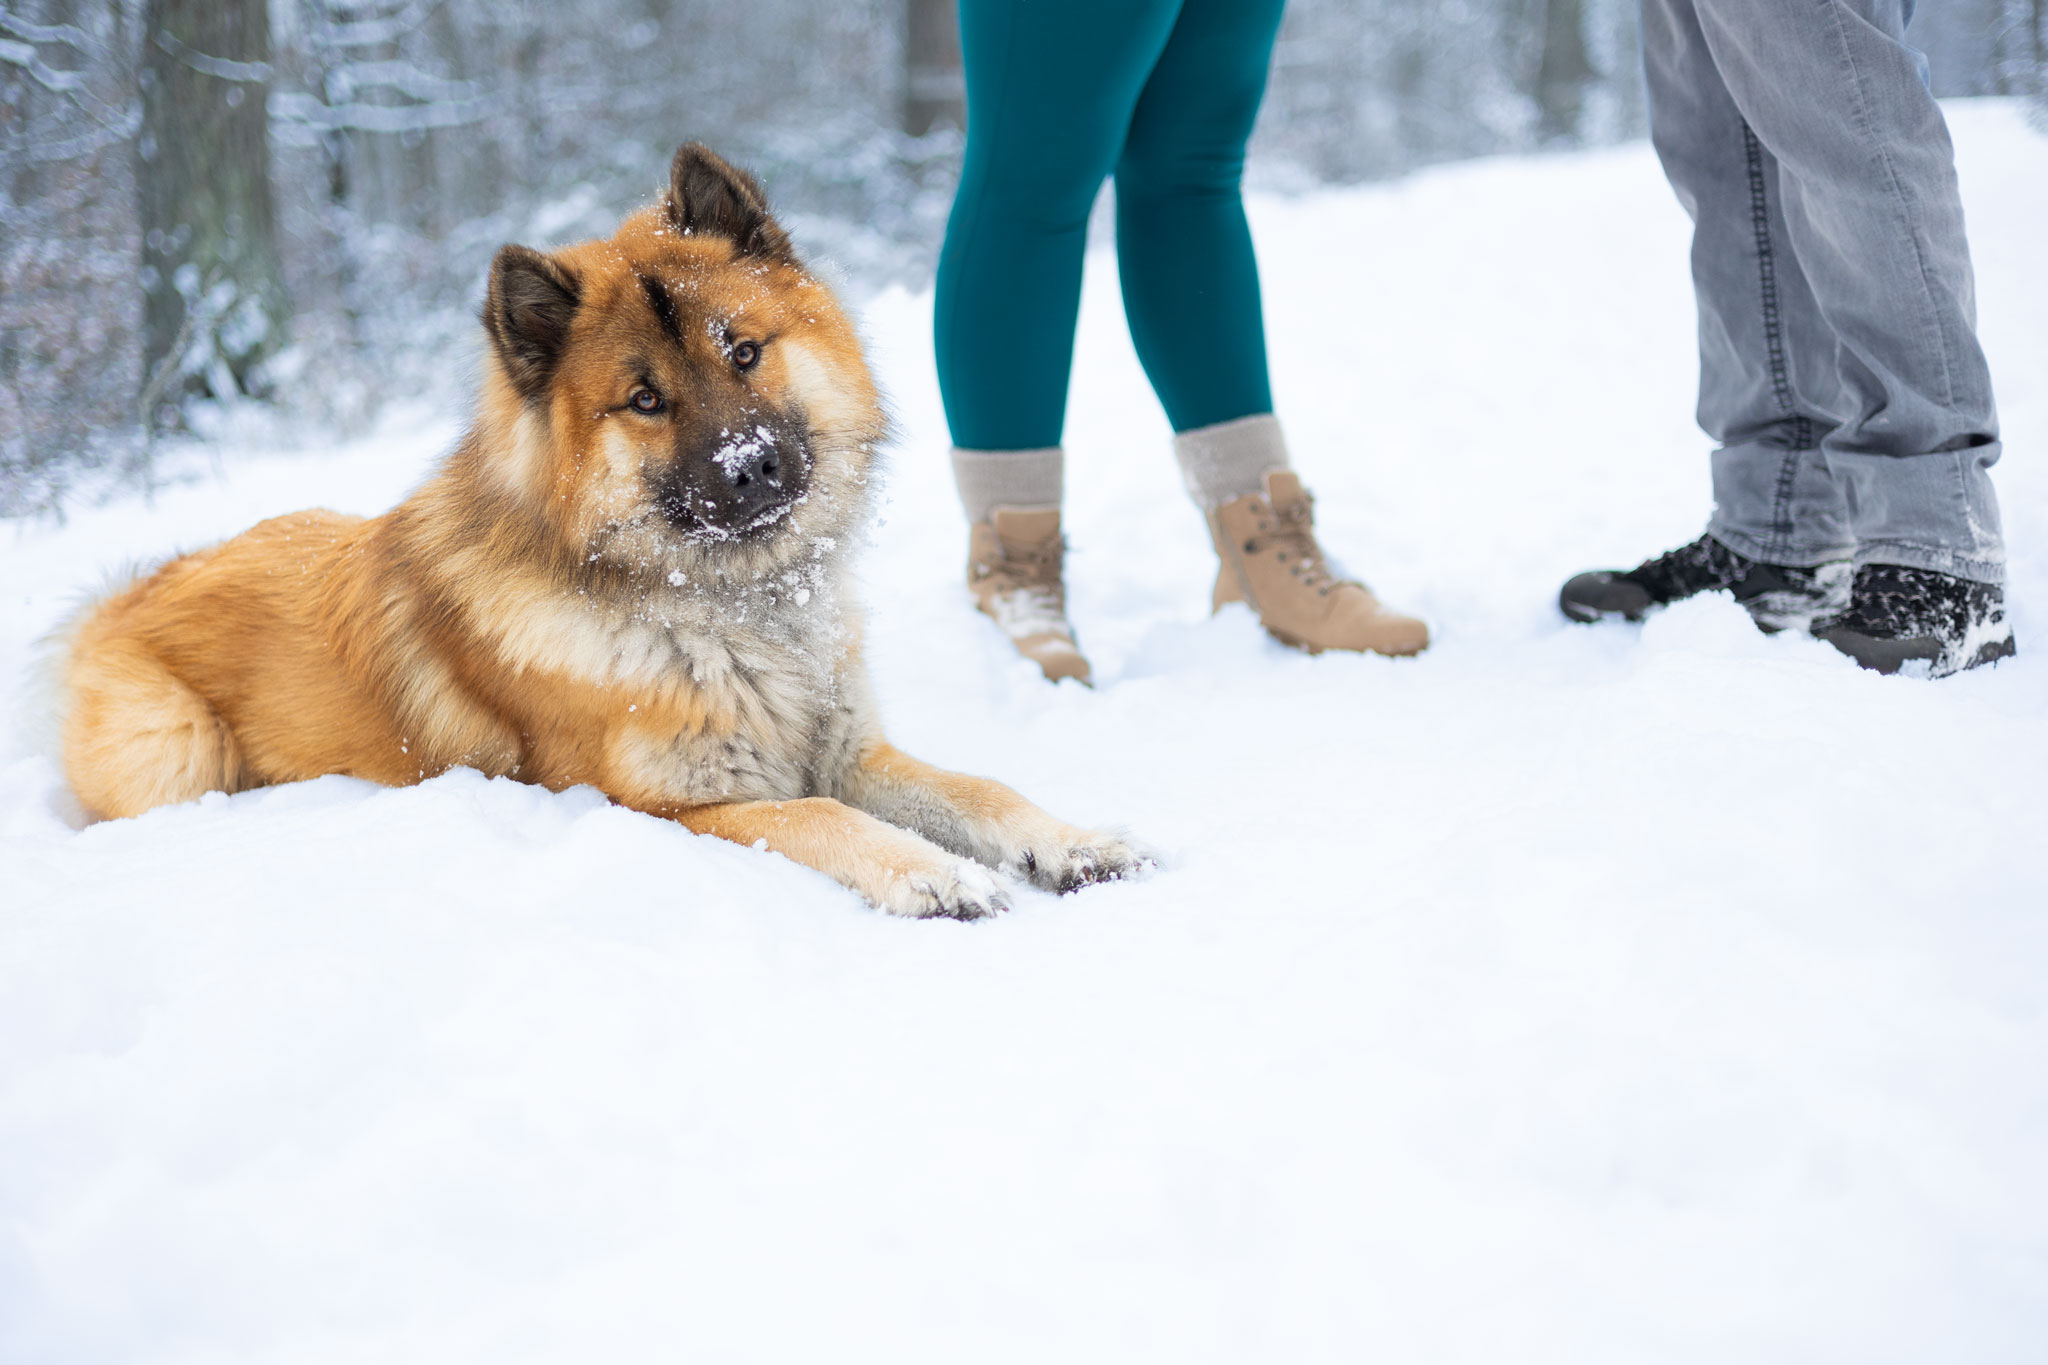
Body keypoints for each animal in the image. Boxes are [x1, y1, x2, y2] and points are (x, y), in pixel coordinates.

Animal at [59, 147, 1155, 916]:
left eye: (744, 351)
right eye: (645, 401)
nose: (750, 466)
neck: (733, 614)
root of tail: (124, 593)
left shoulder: (849, 748)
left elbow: (978, 787)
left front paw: (1071, 840)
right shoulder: (682, 807)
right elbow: (818, 813)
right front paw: (929, 874)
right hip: (178, 752)